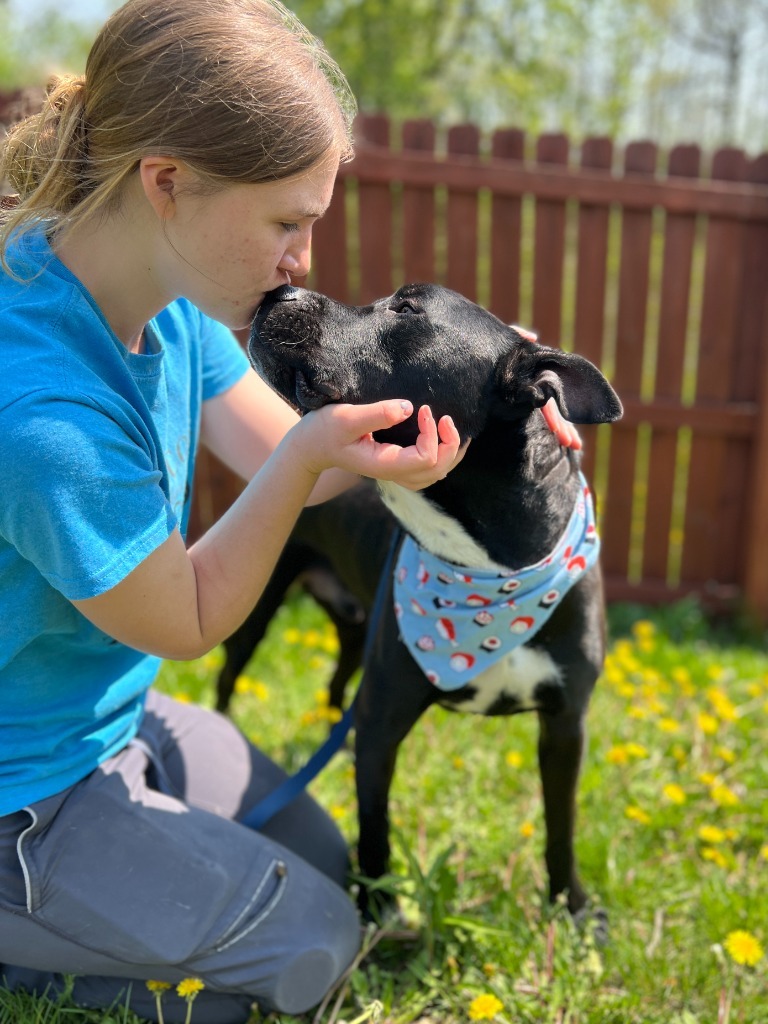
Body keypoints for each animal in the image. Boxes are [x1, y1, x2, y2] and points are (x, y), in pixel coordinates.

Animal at [246, 286, 626, 921]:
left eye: (406, 310)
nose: (281, 290)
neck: (492, 574)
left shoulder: (566, 726)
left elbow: (561, 827)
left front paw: (571, 909)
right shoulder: (382, 722)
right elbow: (374, 823)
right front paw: (377, 911)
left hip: (355, 628)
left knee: (337, 684)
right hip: (264, 602)